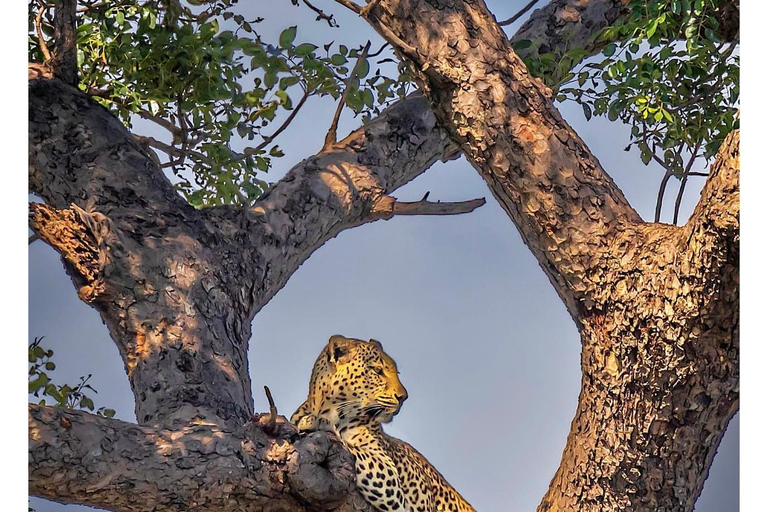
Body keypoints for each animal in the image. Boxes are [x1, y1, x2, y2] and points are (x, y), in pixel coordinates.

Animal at [292, 334, 476, 512]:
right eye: (377, 370)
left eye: (397, 372)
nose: (403, 397)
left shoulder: (390, 474)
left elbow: (352, 449)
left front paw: (318, 423)